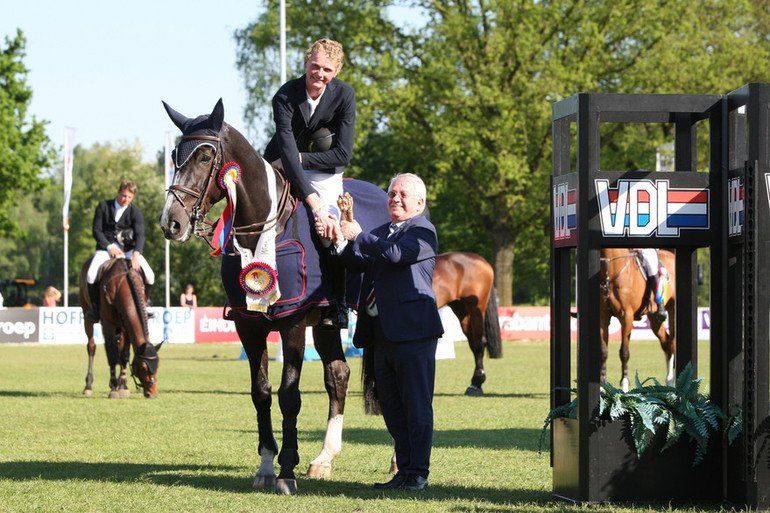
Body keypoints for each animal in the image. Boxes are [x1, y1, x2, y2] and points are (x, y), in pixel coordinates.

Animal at [79, 258, 160, 398]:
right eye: (143, 367)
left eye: (158, 365)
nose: (153, 393)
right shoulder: (107, 324)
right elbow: (111, 355)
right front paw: (113, 389)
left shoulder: (126, 326)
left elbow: (124, 355)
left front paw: (122, 386)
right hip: (87, 317)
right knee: (91, 347)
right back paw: (88, 386)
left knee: (118, 348)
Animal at [158, 98, 390, 494]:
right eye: (175, 156)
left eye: (205, 156)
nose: (172, 222)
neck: (262, 229)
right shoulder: (249, 326)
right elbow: (262, 392)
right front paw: (267, 465)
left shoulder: (292, 323)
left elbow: (289, 395)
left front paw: (286, 472)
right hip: (326, 324)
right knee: (338, 375)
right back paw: (324, 459)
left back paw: (397, 460)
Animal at [600, 246, 672, 390]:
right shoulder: (603, 317)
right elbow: (603, 352)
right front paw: (601, 387)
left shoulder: (626, 317)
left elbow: (624, 352)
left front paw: (624, 387)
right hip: (654, 320)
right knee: (667, 343)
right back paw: (669, 382)